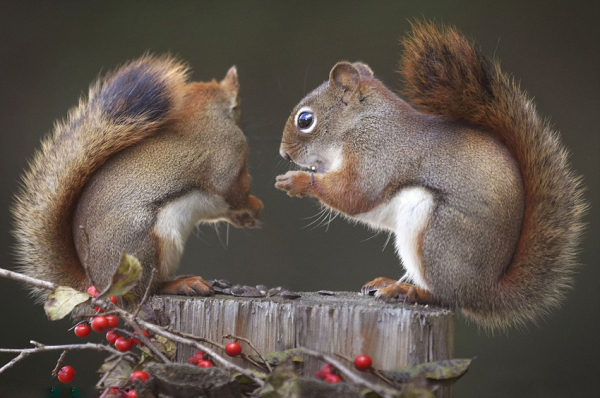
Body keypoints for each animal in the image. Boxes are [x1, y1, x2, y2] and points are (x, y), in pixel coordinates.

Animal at [12, 55, 262, 302]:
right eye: (239, 107)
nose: (246, 124)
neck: (204, 113)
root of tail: (96, 283)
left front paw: (246, 217)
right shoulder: (228, 160)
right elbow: (235, 193)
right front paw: (256, 206)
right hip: (147, 247)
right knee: (145, 291)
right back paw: (182, 283)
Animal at [276, 20, 584, 328]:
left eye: (305, 120)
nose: (284, 154)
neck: (360, 122)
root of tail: (485, 291)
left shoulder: (375, 153)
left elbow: (355, 193)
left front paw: (297, 181)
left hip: (435, 235)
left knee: (447, 296)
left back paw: (408, 291)